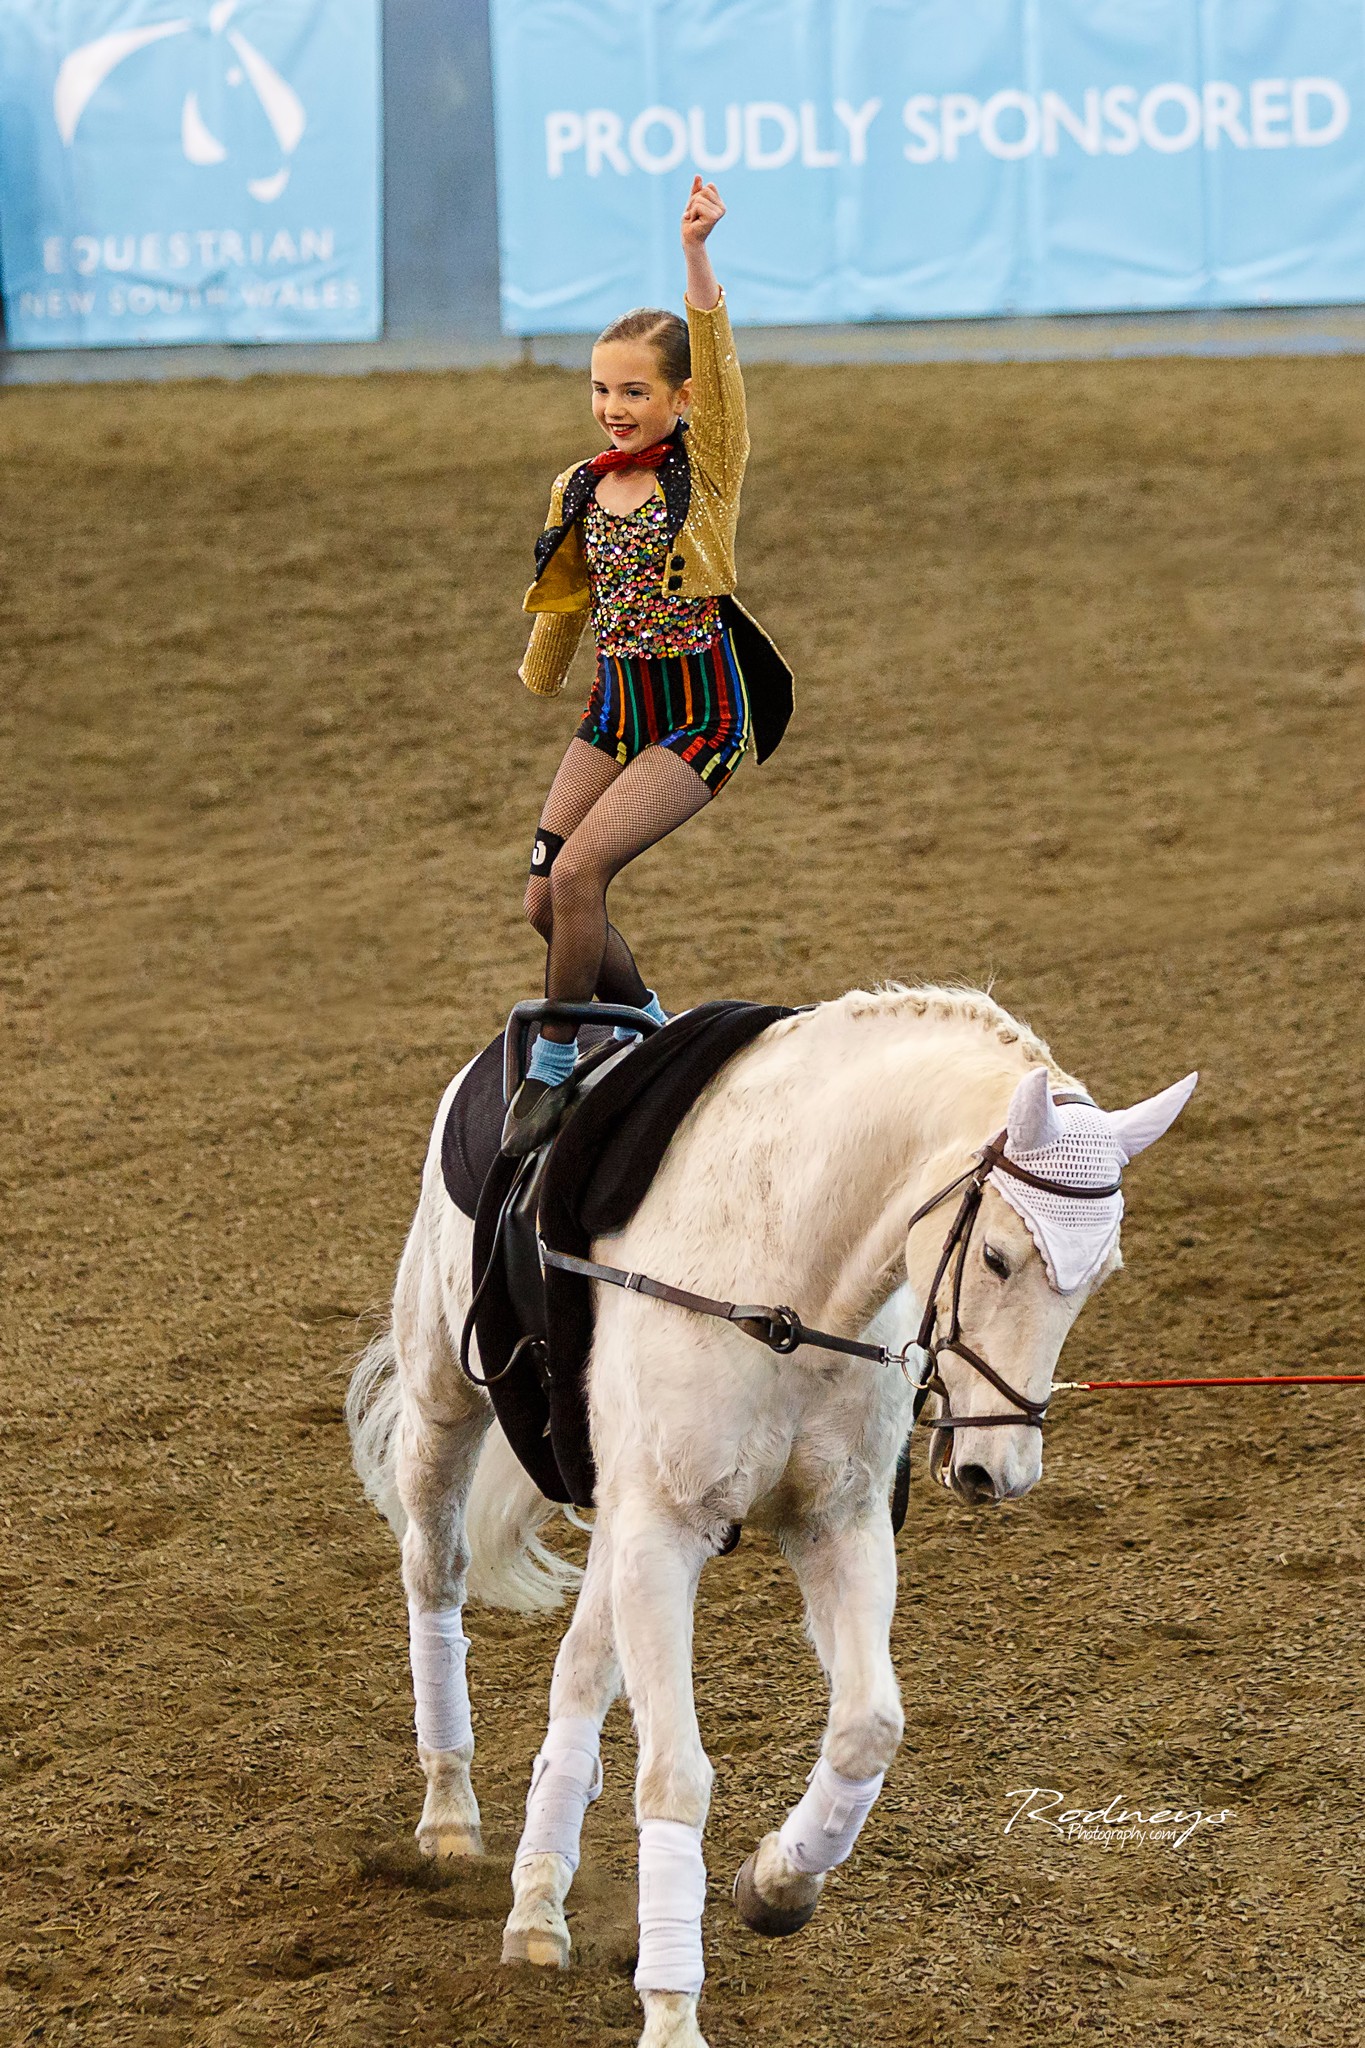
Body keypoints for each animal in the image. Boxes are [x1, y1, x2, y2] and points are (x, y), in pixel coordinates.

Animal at [346, 983, 1196, 2048]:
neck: (785, 1284)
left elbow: (867, 1727)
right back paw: (451, 1817)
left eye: (1101, 1275)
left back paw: (538, 1900)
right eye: (998, 1257)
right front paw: (672, 2013)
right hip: (447, 1409)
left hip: (620, 1519)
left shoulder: (835, 1523)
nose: (997, 1470)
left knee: (580, 1671)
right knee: (436, 1576)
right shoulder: (664, 1533)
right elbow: (674, 1776)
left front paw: (777, 1883)